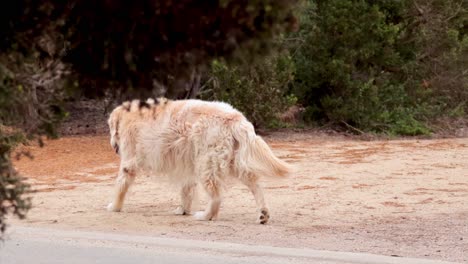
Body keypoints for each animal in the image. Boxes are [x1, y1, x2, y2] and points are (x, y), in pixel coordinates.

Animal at [107, 98, 288, 224]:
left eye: (110, 129)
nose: (113, 146)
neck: (127, 116)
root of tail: (236, 118)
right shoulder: (187, 167)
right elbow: (186, 190)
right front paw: (182, 210)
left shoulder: (129, 161)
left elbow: (120, 185)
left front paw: (114, 206)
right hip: (232, 163)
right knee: (255, 186)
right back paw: (263, 214)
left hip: (207, 164)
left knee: (216, 196)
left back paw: (205, 216)